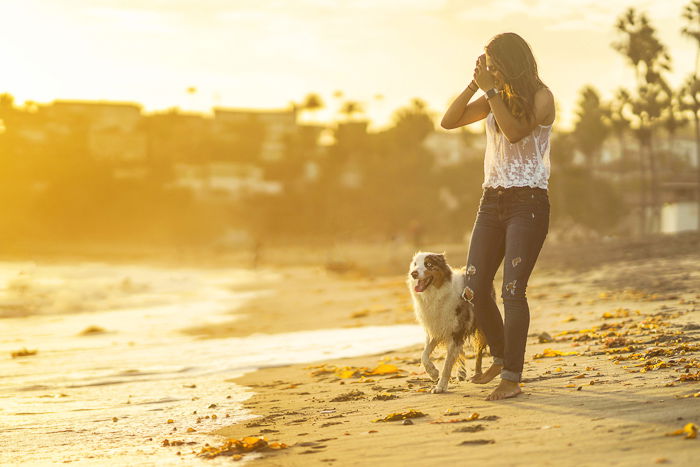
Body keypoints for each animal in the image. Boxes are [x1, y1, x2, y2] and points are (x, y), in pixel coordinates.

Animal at [408, 252, 490, 394]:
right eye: (415, 264)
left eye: (428, 264)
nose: (413, 273)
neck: (435, 295)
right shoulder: (436, 329)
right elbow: (424, 355)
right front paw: (433, 373)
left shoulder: (455, 332)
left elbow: (447, 364)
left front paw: (440, 386)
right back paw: (461, 373)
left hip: (481, 327)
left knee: (479, 351)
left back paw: (478, 374)